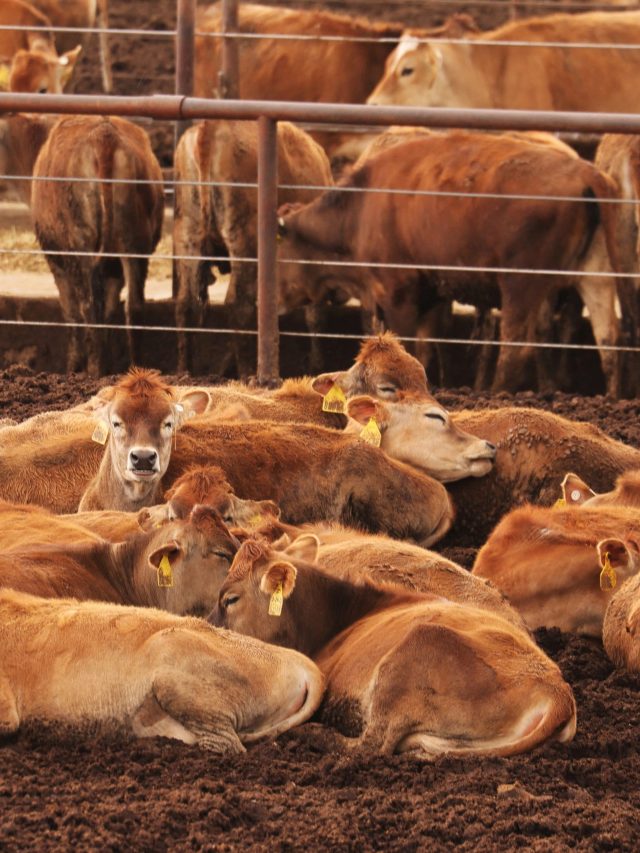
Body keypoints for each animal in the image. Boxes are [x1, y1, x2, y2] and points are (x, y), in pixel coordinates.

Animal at [31, 115, 165, 376]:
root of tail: (104, 136)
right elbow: (111, 309)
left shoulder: (57, 260)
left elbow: (71, 311)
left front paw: (74, 365)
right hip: (134, 246)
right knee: (134, 305)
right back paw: (134, 368)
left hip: (83, 247)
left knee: (89, 306)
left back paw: (94, 369)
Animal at [173, 119, 334, 374]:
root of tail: (210, 126)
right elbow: (315, 314)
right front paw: (317, 365)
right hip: (243, 241)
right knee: (238, 304)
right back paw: (248, 372)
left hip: (188, 235)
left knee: (185, 304)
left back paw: (185, 372)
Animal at [211, 537, 577, 757]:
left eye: (230, 599)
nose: (208, 627)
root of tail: (557, 690)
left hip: (414, 652)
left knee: (371, 745)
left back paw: (311, 734)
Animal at [277, 131, 620, 394]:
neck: (360, 210)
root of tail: (587, 174)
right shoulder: (430, 295)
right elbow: (426, 348)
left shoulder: (397, 294)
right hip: (594, 277)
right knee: (608, 341)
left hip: (520, 284)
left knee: (516, 347)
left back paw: (495, 393)